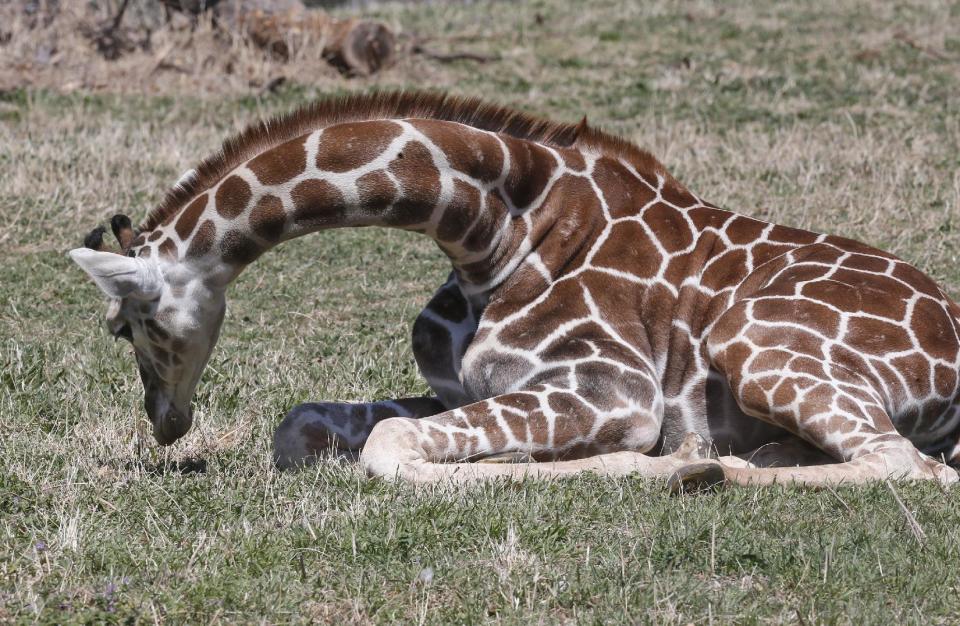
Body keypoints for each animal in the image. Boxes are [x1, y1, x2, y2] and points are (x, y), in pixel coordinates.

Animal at [71, 90, 960, 486]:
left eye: (125, 328)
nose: (165, 423)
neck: (489, 231)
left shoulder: (612, 390)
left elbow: (391, 449)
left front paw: (646, 463)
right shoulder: (462, 386)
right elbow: (300, 426)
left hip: (757, 343)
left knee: (906, 464)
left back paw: (703, 467)